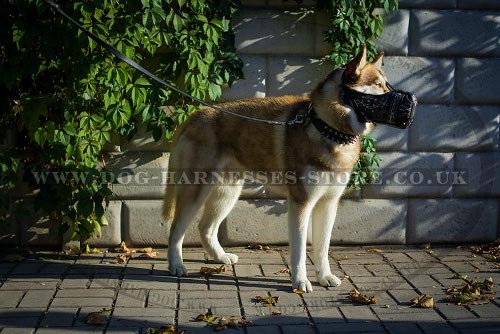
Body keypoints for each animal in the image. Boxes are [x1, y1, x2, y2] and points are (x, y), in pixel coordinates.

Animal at [164, 45, 390, 292]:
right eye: (378, 84)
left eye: (386, 84)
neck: (327, 128)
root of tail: (193, 115)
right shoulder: (301, 203)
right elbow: (300, 251)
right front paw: (300, 281)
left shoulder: (328, 203)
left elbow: (322, 248)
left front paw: (325, 276)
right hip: (195, 191)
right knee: (175, 230)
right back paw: (176, 265)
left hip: (227, 193)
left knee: (205, 228)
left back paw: (220, 257)